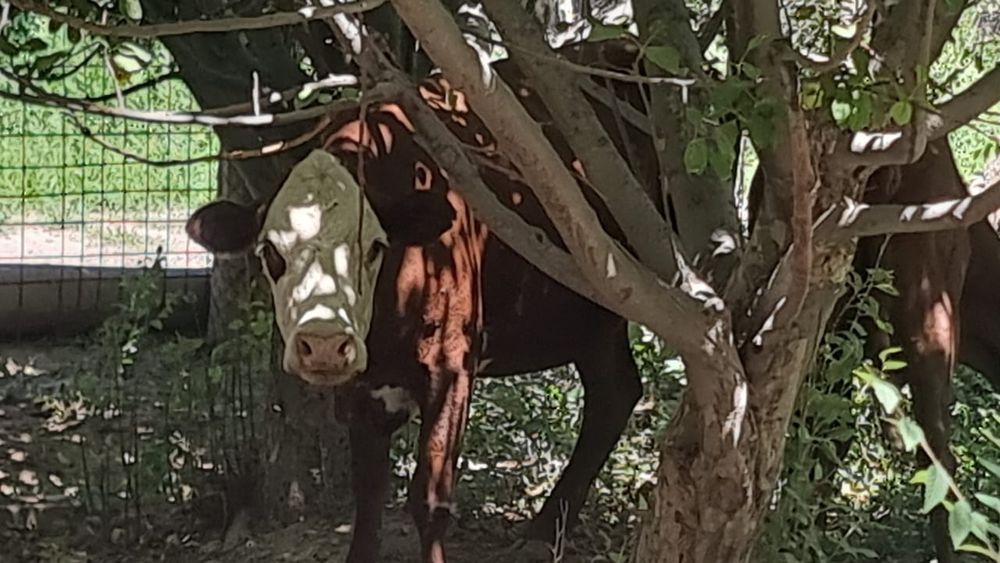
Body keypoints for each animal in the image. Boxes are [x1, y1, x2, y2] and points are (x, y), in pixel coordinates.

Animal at [185, 47, 653, 562]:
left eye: (373, 246)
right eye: (270, 251)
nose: (324, 344)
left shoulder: (452, 366)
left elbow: (429, 497)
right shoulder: (361, 387)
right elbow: (368, 493)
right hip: (591, 320)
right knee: (615, 394)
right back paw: (545, 530)